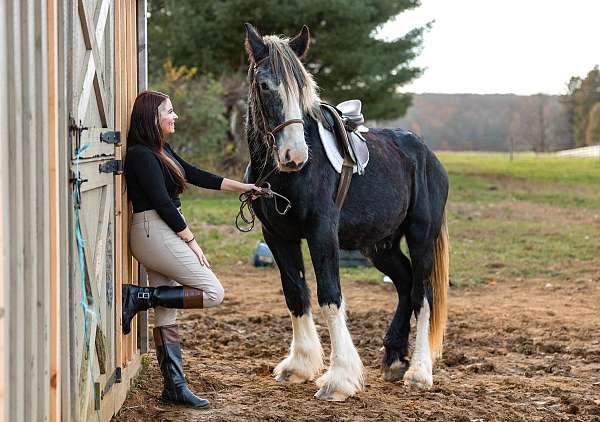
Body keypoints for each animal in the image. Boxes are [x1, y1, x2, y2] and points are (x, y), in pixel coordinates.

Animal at [241, 23, 448, 402]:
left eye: (303, 88)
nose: (294, 155)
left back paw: (419, 372)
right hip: (380, 246)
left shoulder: (322, 232)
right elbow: (296, 293)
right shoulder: (277, 236)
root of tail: (426, 154)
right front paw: (300, 365)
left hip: (421, 237)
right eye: (264, 85)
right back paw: (394, 358)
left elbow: (329, 296)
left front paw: (339, 379)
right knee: (405, 284)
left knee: (423, 296)